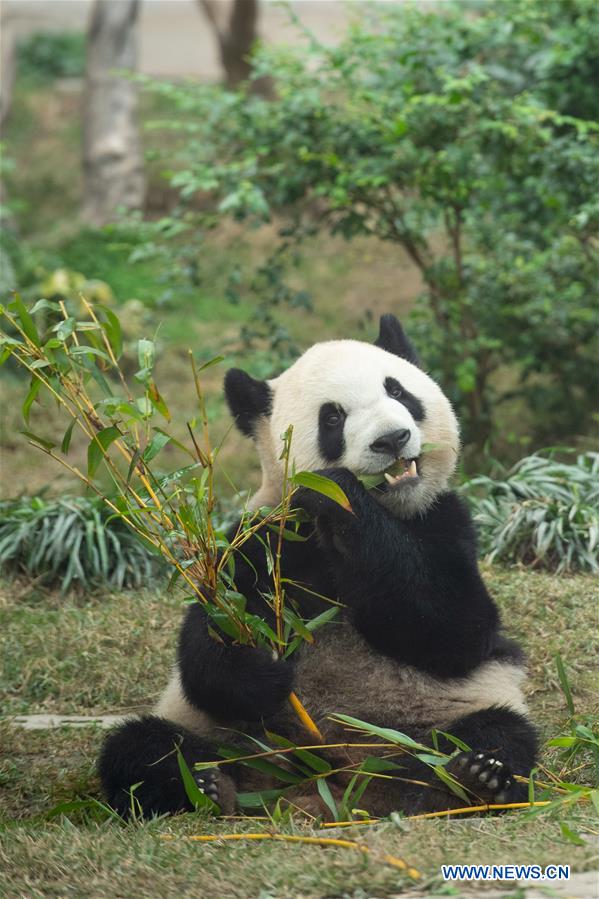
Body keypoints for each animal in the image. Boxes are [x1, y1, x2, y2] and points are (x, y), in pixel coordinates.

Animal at [99, 316, 540, 824]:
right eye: (333, 418)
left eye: (398, 391)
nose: (392, 439)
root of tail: (331, 779)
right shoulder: (257, 542)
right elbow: (207, 648)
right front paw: (263, 670)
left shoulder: (444, 523)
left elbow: (456, 630)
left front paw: (342, 497)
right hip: (230, 736)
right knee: (142, 747)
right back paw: (204, 787)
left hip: (443, 713)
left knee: (497, 733)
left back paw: (467, 779)